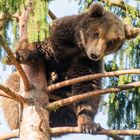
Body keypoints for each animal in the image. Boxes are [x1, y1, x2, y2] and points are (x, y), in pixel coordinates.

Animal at [0, 2, 139, 133]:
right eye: (96, 33)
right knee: (13, 84)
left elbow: (87, 87)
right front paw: (18, 55)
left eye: (111, 42)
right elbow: (41, 43)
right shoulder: (61, 35)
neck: (78, 45)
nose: (95, 54)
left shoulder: (86, 63)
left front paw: (88, 124)